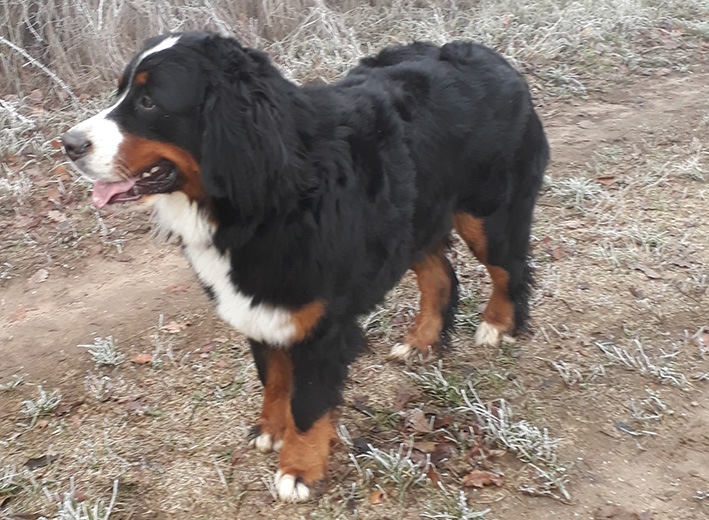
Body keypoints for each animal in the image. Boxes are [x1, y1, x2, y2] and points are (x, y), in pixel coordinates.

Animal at [61, 32, 549, 502]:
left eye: (148, 101)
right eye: (120, 91)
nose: (68, 144)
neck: (262, 197)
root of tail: (493, 57)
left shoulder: (320, 322)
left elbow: (309, 403)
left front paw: (298, 469)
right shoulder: (261, 304)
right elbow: (275, 379)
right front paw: (270, 430)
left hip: (487, 215)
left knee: (509, 269)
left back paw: (498, 325)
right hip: (414, 219)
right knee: (441, 275)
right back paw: (421, 341)